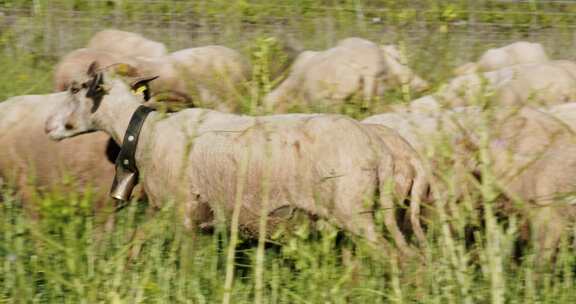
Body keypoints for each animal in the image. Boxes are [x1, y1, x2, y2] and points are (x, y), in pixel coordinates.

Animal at [45, 64, 420, 254]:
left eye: (76, 89)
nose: (47, 126)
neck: (147, 133)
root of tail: (380, 148)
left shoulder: (180, 212)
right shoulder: (184, 215)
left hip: (355, 213)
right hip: (382, 216)